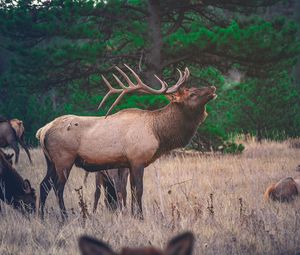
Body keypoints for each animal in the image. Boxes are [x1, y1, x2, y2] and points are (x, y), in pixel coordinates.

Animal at [37, 64, 217, 220]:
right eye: (192, 94)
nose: (213, 88)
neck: (158, 133)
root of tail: (43, 131)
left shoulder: (128, 163)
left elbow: (130, 190)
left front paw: (133, 215)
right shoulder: (137, 159)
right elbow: (139, 190)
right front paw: (141, 217)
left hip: (50, 161)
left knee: (43, 185)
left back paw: (40, 216)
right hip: (64, 158)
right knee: (57, 187)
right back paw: (64, 217)